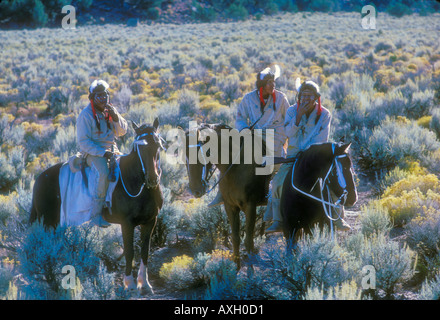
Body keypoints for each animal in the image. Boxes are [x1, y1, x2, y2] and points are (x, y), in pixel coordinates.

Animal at [29, 118, 163, 296]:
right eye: (139, 147)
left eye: (157, 145)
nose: (152, 178)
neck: (135, 182)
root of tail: (38, 179)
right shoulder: (127, 224)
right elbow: (129, 252)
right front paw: (130, 284)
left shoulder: (150, 222)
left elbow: (145, 252)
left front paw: (145, 284)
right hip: (47, 223)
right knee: (45, 248)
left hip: (56, 224)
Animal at [183, 124, 272, 266]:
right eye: (184, 157)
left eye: (199, 154)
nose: (195, 190)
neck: (236, 165)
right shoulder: (230, 206)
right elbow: (235, 238)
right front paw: (235, 267)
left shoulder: (250, 207)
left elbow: (249, 242)